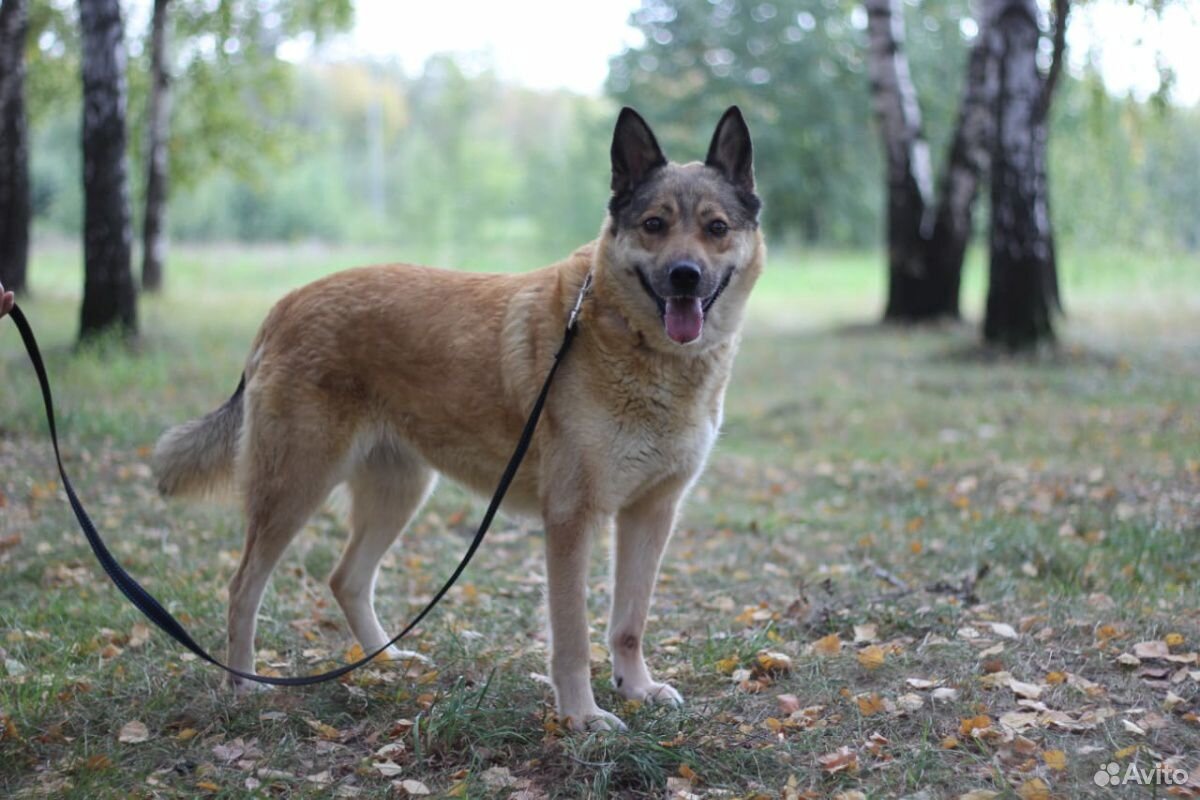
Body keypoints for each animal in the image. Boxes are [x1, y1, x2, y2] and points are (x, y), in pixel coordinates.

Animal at [154, 106, 763, 734]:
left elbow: (629, 623)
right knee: (243, 587)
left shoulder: (651, 514)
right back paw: (242, 686)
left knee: (346, 578)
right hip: (295, 489)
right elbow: (572, 636)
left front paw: (636, 688)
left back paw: (388, 662)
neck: (635, 342)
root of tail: (286, 303)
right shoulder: (572, 520)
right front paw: (581, 717)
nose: (685, 275)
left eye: (716, 228)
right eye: (653, 224)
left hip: (398, 492)